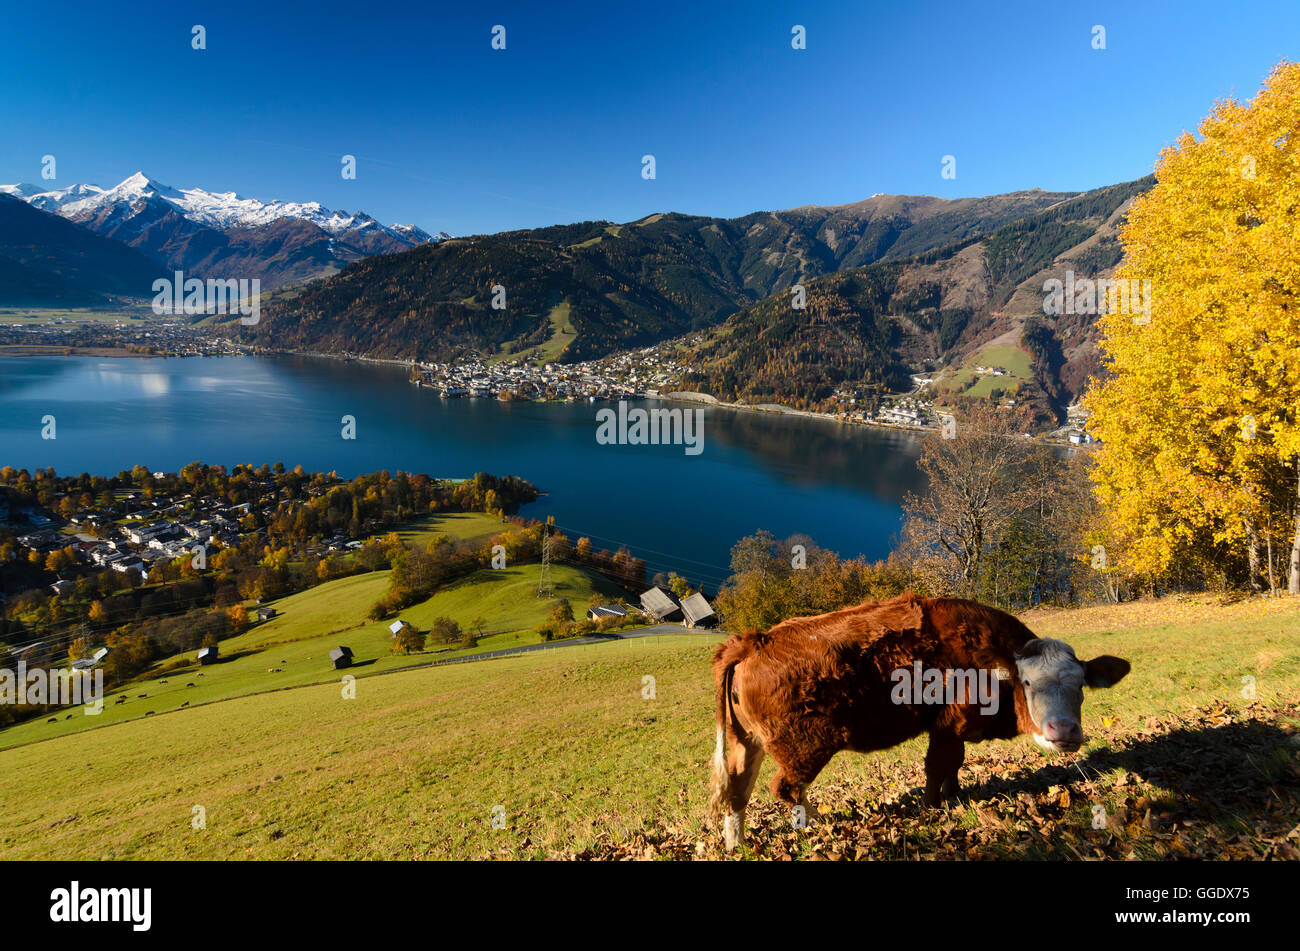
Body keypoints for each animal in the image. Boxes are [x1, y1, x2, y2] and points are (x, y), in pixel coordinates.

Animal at [707, 592, 1130, 851]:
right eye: (1027, 683)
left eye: (1080, 686)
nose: (1065, 731)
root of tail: (753, 641)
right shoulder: (949, 725)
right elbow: (938, 765)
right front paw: (934, 807)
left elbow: (953, 766)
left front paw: (954, 794)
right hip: (805, 747)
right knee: (786, 789)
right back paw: (823, 823)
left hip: (747, 743)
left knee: (737, 791)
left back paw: (736, 843)